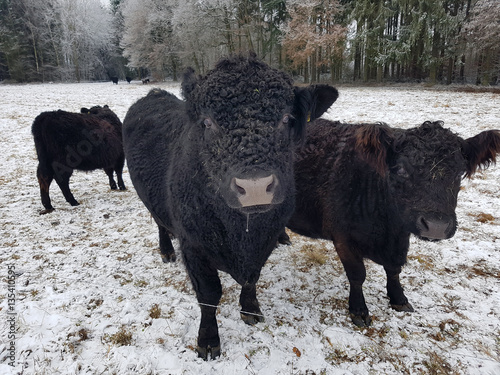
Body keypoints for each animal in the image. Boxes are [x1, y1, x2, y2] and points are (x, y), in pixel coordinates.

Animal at [122, 53, 338, 362]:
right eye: (207, 121)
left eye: (287, 118)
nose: (255, 186)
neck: (242, 234)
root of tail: (153, 94)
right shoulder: (193, 245)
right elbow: (209, 294)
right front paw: (208, 340)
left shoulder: (265, 240)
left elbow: (252, 279)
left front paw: (251, 311)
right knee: (159, 222)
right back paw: (166, 251)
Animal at [280, 119, 500, 326]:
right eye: (401, 169)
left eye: (459, 172)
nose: (436, 226)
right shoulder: (343, 237)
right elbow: (357, 275)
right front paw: (359, 310)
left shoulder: (400, 238)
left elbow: (394, 269)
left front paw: (398, 298)